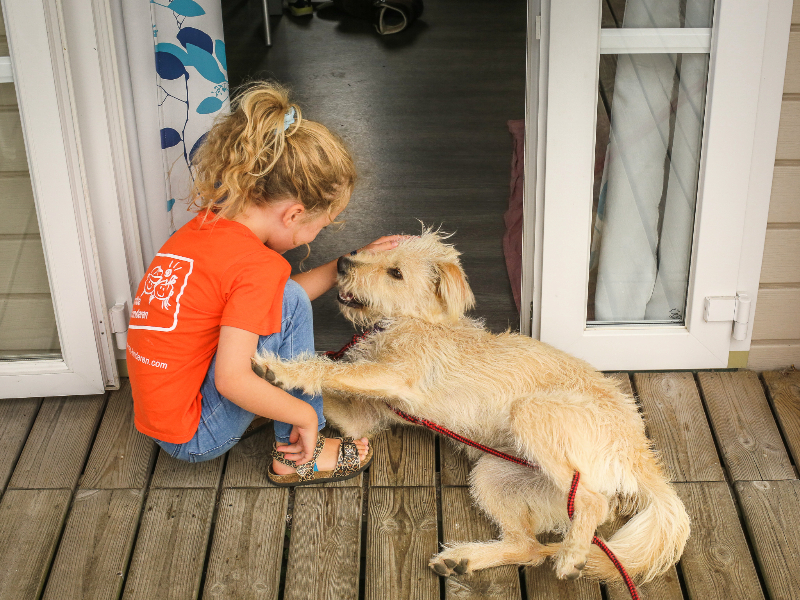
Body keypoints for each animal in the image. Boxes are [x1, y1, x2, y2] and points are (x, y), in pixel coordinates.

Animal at [255, 231, 688, 584]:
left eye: (395, 273)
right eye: (371, 251)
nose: (343, 263)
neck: (409, 321)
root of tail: (640, 455)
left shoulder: (395, 375)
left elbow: (327, 369)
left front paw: (276, 370)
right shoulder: (365, 416)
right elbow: (333, 393)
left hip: (533, 416)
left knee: (591, 504)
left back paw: (571, 556)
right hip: (495, 475)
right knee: (527, 546)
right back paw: (463, 560)